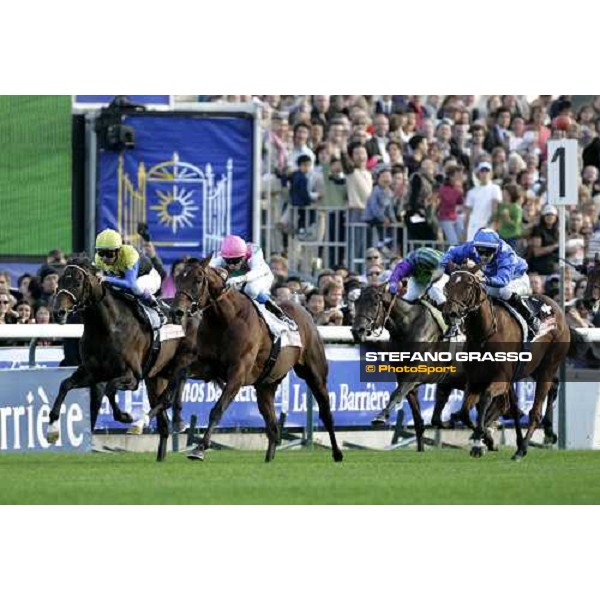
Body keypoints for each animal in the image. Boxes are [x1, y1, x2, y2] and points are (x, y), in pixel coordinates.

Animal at [51, 256, 189, 460]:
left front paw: (125, 416)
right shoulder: (92, 373)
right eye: (59, 282)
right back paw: (160, 455)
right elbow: (65, 384)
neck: (107, 326)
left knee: (169, 399)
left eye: (77, 282)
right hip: (155, 377)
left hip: (176, 369)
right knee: (163, 419)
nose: (58, 312)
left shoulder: (132, 377)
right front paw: (51, 429)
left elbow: (110, 388)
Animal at [152, 258, 344, 464]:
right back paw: (269, 458)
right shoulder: (207, 366)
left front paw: (200, 449)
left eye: (197, 280)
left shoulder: (238, 373)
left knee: (325, 411)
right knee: (272, 425)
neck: (225, 319)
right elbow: (180, 373)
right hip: (266, 385)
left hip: (314, 373)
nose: (176, 312)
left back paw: (337, 452)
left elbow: (217, 410)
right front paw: (172, 413)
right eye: (178, 279)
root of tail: (305, 312)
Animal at [442, 270, 568, 462]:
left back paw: (522, 449)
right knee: (547, 389)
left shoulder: (500, 379)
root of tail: (557, 308)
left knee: (535, 412)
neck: (484, 334)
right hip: (534, 369)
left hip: (549, 365)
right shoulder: (475, 381)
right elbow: (463, 412)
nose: (450, 313)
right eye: (448, 285)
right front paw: (483, 439)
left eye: (468, 286)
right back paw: (544, 433)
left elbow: (486, 399)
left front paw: (480, 440)